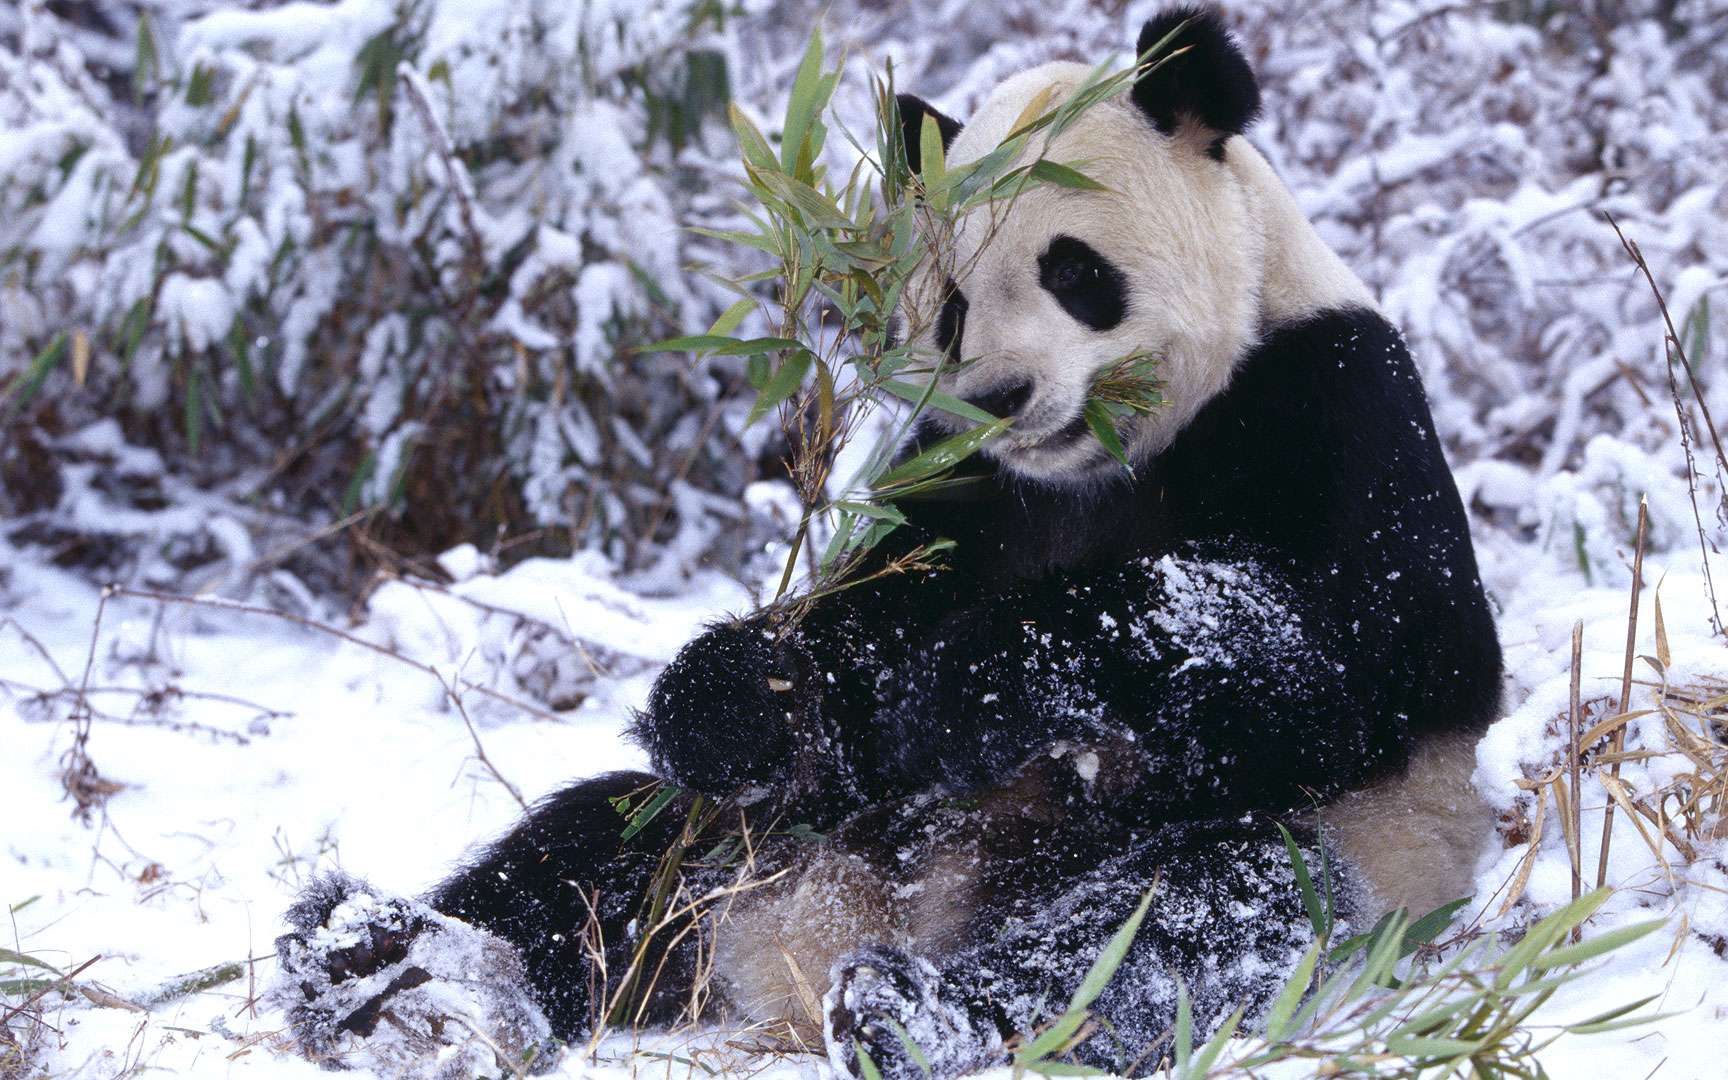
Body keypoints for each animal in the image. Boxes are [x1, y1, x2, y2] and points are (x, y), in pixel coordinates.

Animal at [273, 10, 1499, 1078]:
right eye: (950, 303)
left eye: (1074, 271)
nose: (1002, 395)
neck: (1097, 463)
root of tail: (797, 954)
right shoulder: (953, 477)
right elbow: (851, 643)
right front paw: (738, 692)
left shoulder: (1333, 399)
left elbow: (1358, 654)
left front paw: (990, 679)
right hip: (768, 842)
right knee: (605, 854)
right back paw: (388, 967)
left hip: (1344, 853)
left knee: (1196, 915)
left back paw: (920, 1017)